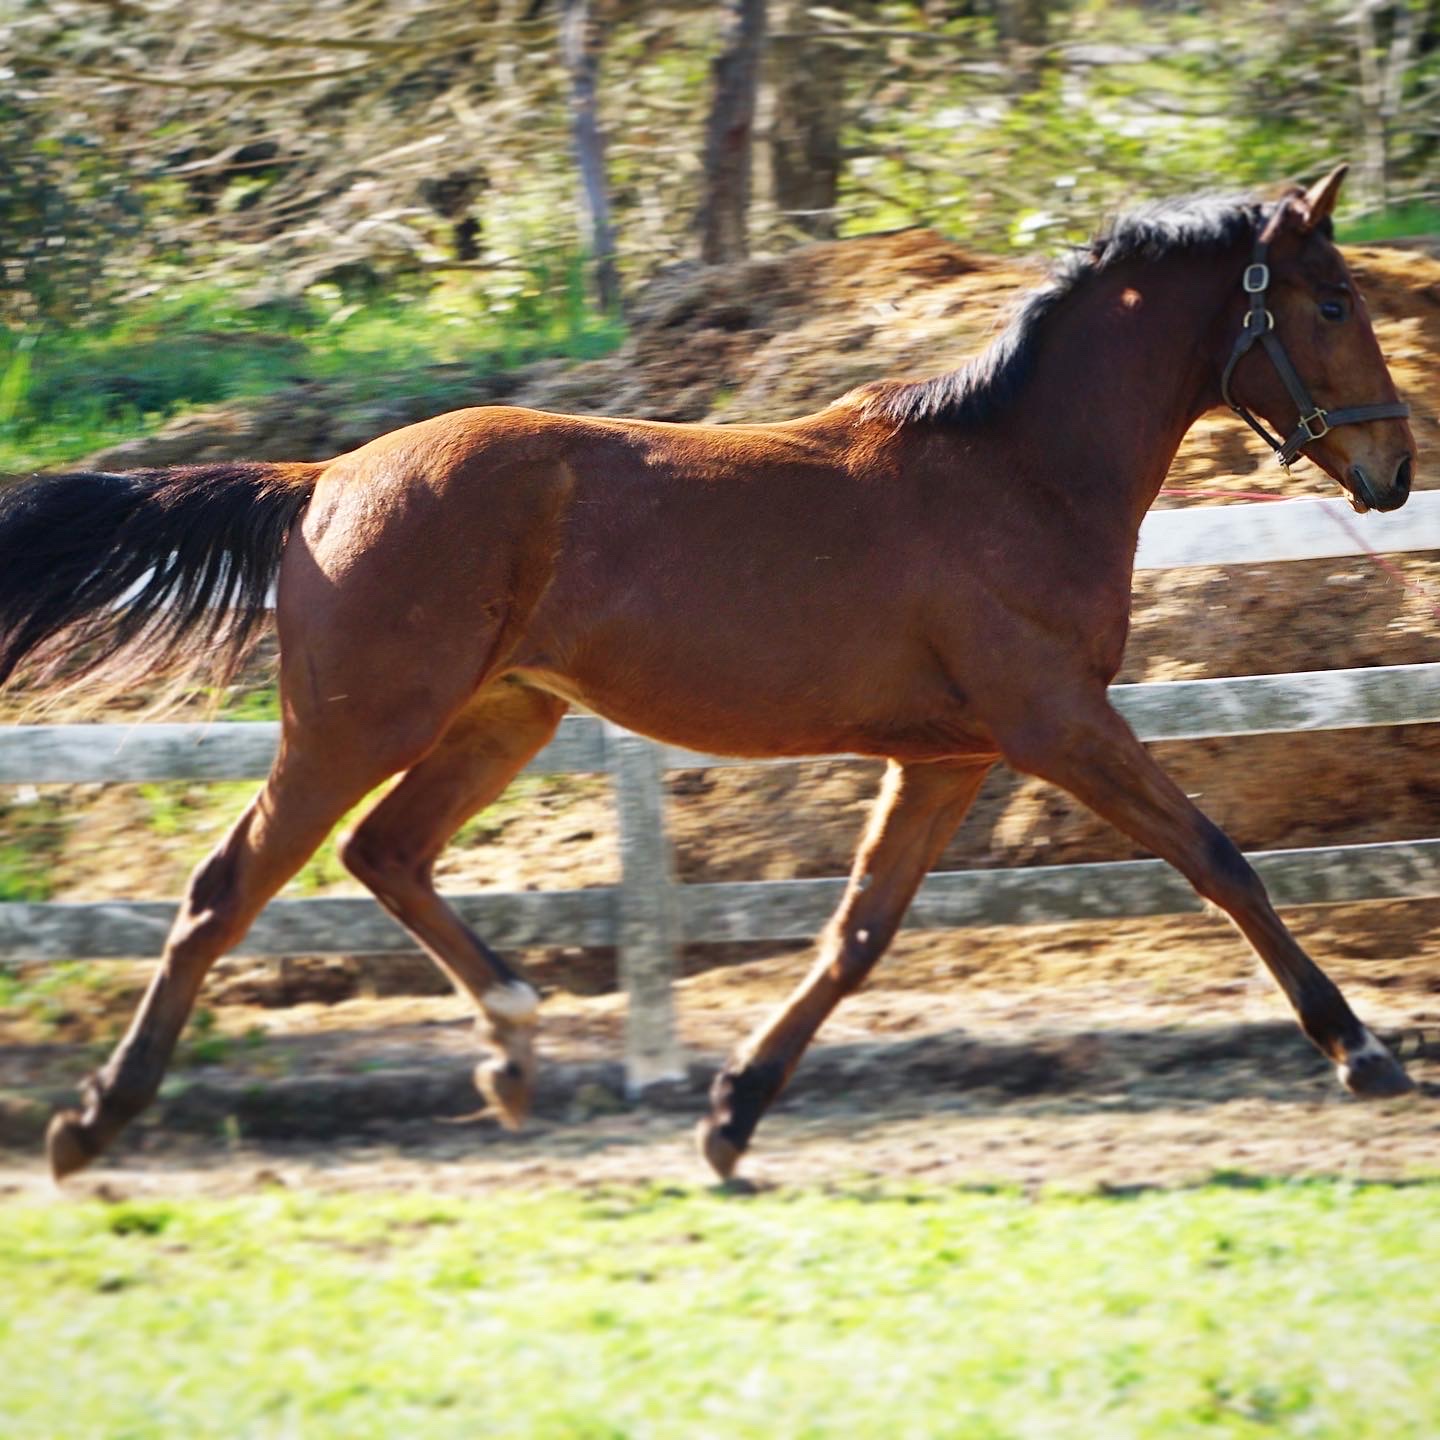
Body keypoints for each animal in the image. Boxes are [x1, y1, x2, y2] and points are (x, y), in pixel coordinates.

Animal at [0, 164, 1419, 1183]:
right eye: (1332, 302)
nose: (1395, 470)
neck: (1018, 474)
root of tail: (321, 482)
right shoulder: (1057, 723)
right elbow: (1220, 859)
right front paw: (1364, 1053)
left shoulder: (949, 756)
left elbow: (856, 937)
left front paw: (732, 1120)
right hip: (359, 723)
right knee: (227, 887)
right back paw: (91, 1125)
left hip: (500, 720)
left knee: (383, 855)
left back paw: (513, 1051)